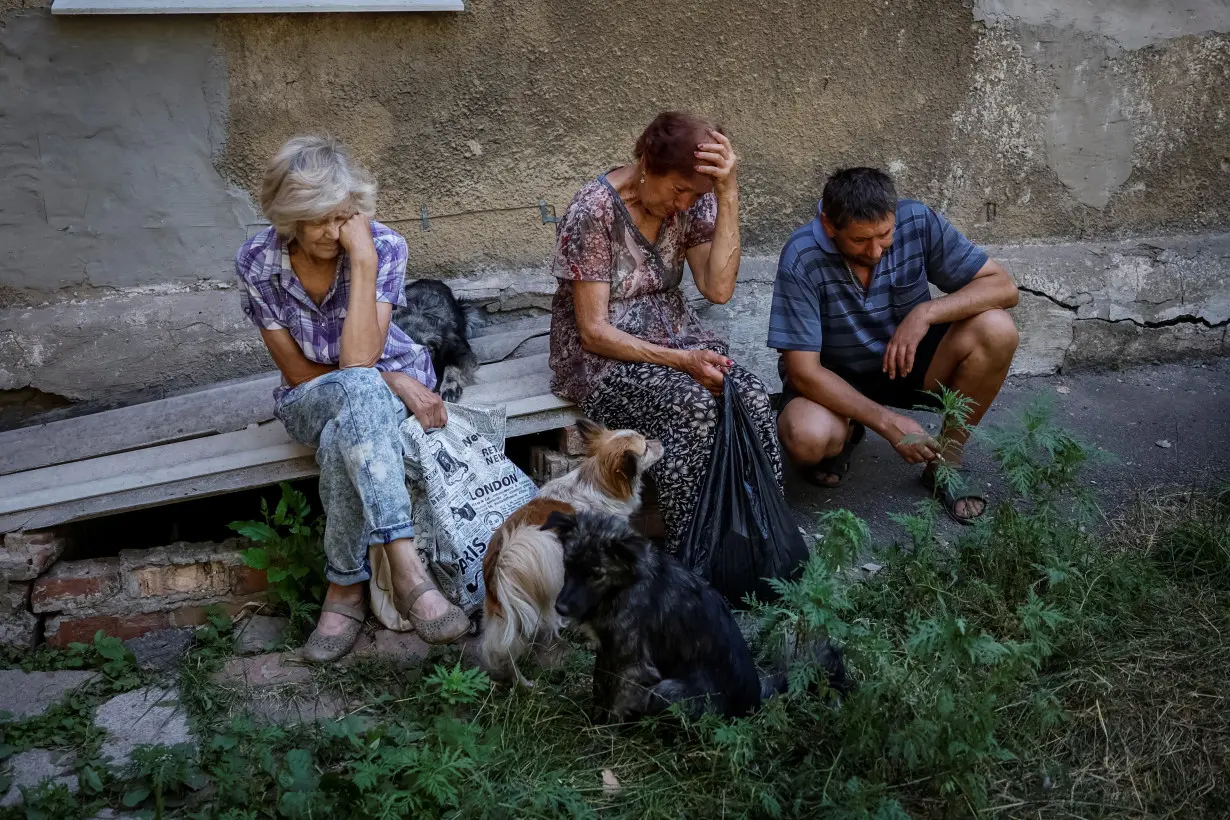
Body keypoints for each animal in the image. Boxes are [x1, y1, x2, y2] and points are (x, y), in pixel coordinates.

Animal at [477, 420, 659, 683]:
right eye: (645, 448)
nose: (661, 442)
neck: (597, 483)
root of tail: (499, 563)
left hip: (505, 615)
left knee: (503, 648)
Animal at [546, 508, 762, 722]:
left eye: (597, 575)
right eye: (567, 565)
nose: (560, 608)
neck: (621, 588)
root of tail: (751, 709)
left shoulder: (632, 665)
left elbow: (615, 703)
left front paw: (605, 729)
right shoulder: (607, 650)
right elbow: (598, 688)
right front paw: (593, 721)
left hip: (666, 689)